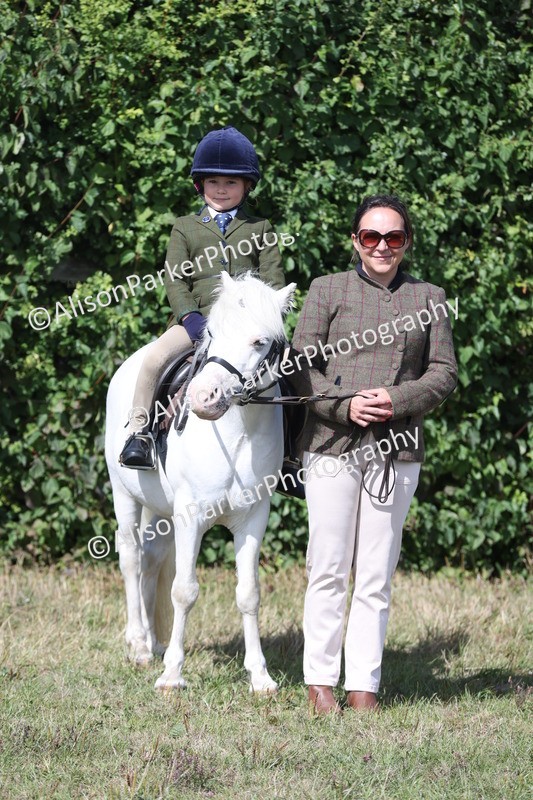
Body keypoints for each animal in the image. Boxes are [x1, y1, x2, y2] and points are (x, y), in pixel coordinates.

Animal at [105, 271, 296, 691]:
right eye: (212, 332)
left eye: (260, 341)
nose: (203, 397)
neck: (237, 432)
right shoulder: (191, 516)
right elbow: (184, 590)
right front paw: (172, 675)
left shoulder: (253, 518)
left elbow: (248, 593)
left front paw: (260, 677)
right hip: (124, 495)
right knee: (131, 560)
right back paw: (139, 646)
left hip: (161, 511)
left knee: (151, 560)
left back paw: (153, 642)